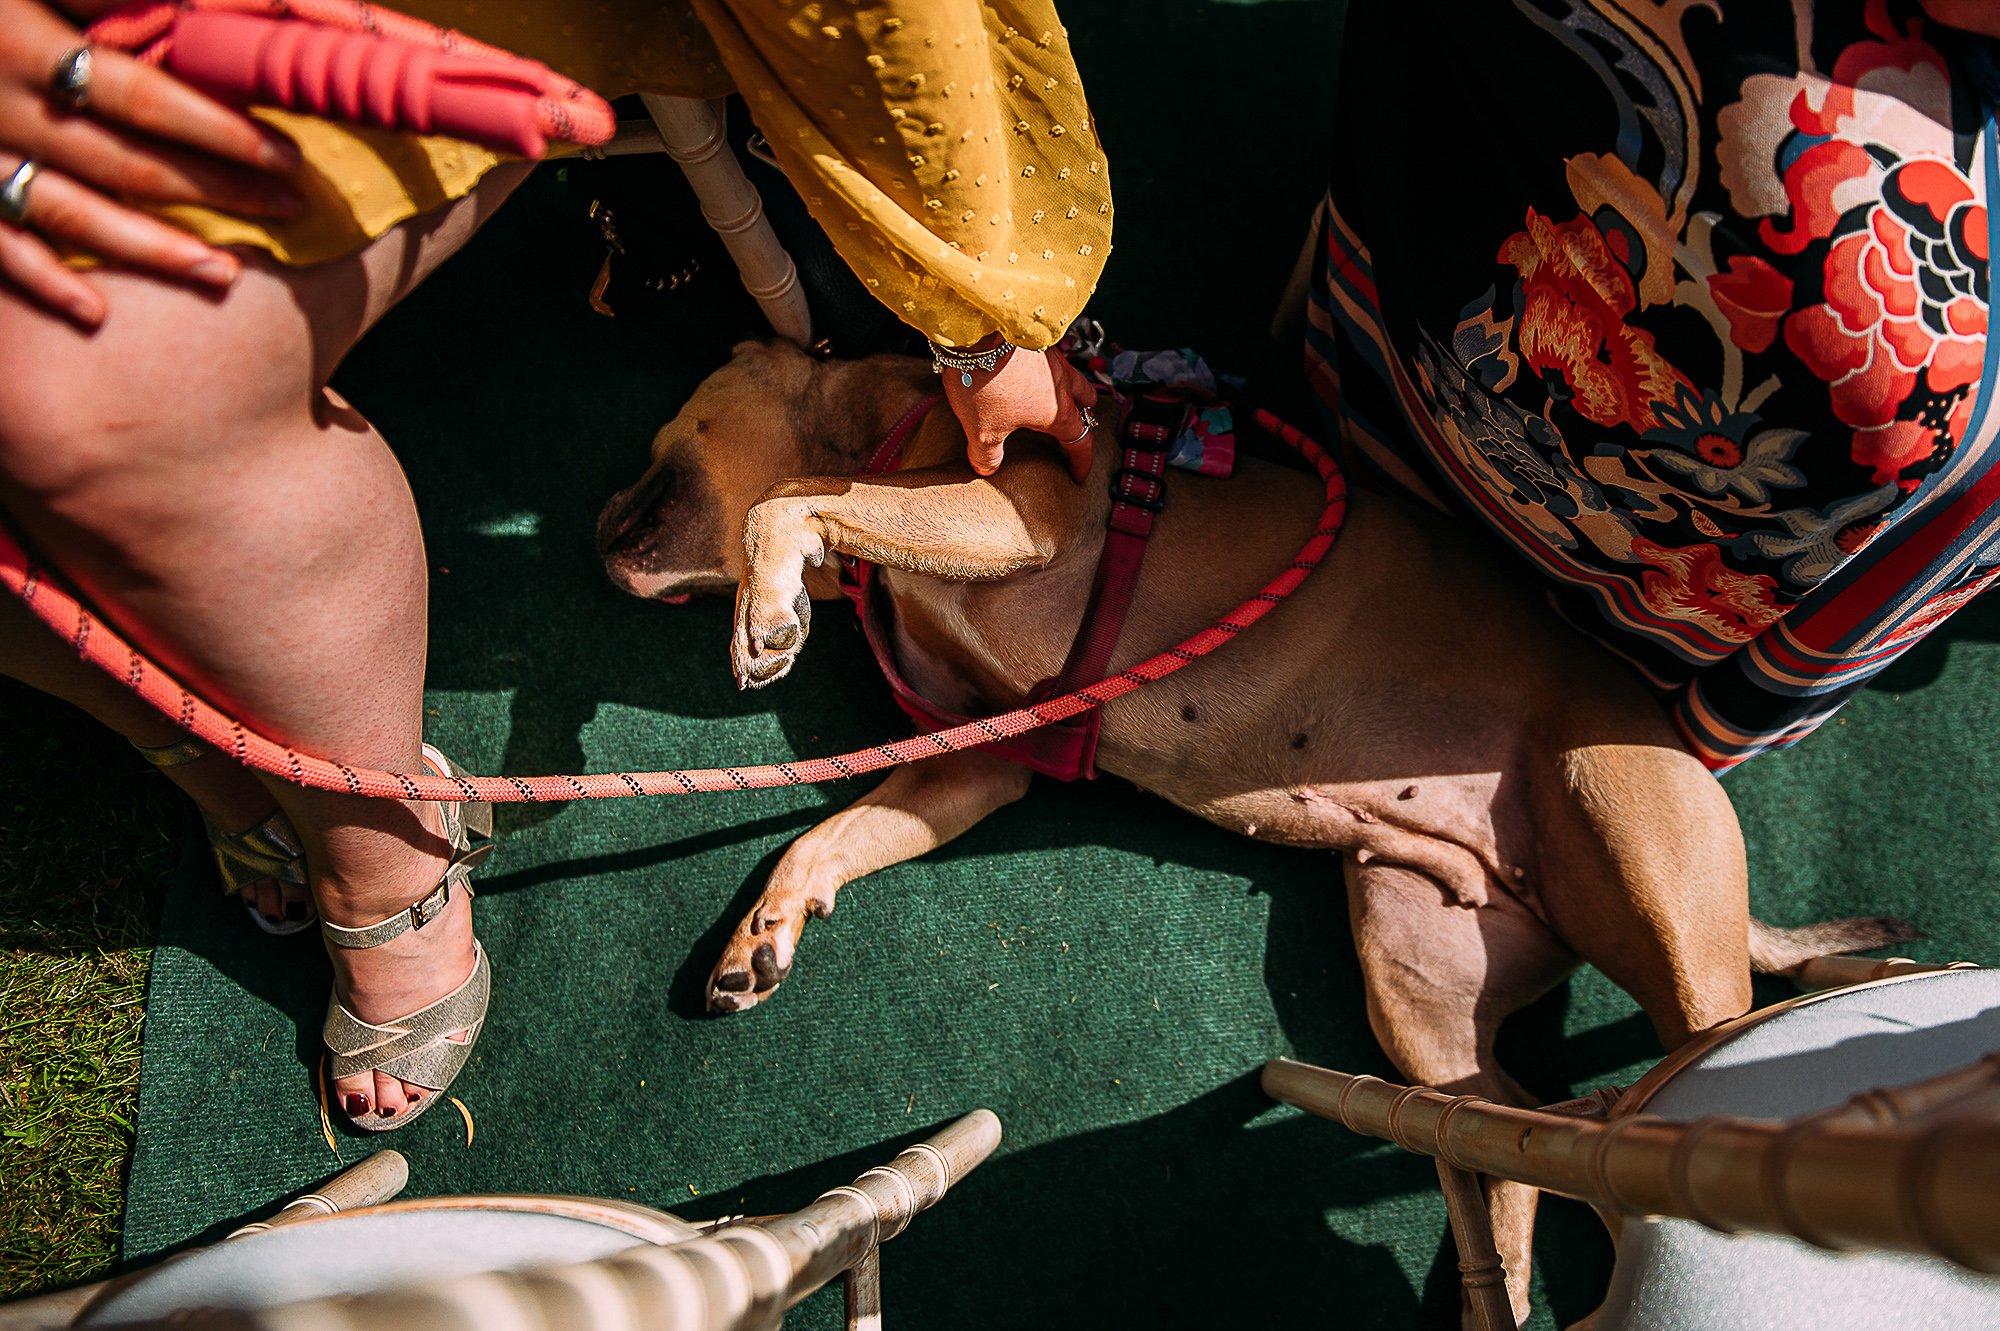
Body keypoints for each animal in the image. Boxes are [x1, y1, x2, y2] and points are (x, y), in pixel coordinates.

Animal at [592, 339, 1904, 1319]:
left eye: (654, 442)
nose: (597, 528)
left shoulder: (1009, 511)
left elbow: (788, 501)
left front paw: (769, 603)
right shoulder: (981, 759)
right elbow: (824, 840)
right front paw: (764, 934)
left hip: (1660, 917)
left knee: (1682, 1054)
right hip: (1414, 991)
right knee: (1506, 1150)